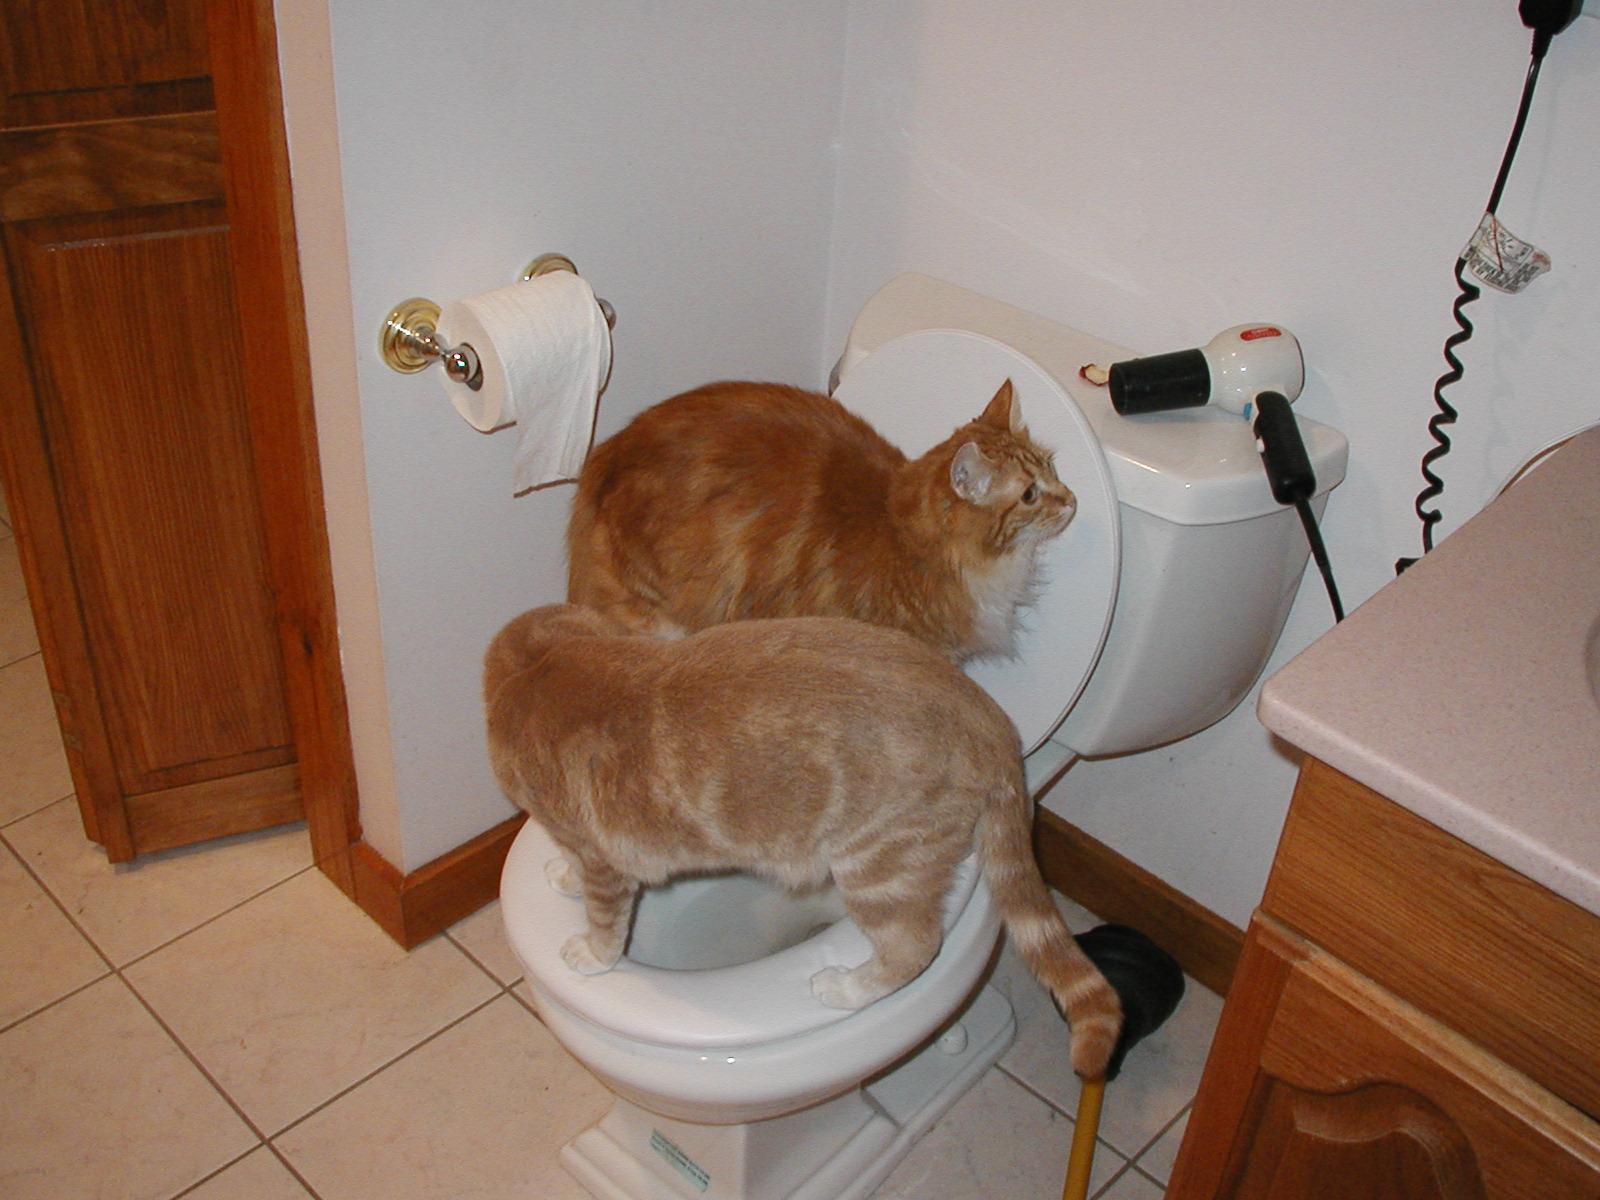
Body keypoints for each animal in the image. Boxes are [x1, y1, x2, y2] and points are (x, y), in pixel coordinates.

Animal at [484, 603, 1121, 1080]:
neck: (545, 667)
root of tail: (992, 722)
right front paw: (562, 876)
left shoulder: (604, 863)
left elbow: (604, 919)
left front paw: (591, 954)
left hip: (875, 868)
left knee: (914, 947)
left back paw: (846, 987)